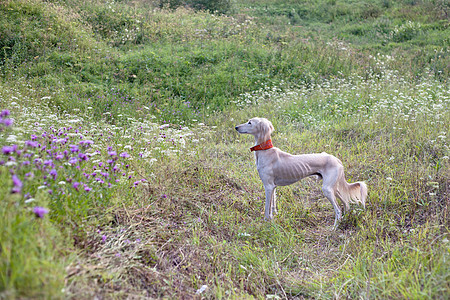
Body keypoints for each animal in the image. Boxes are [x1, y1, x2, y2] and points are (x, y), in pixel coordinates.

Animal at [234, 118, 368, 227]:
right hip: (334, 188)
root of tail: (337, 159)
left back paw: (334, 228)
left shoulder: (268, 186)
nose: (236, 127)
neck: (265, 150)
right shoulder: (273, 187)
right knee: (346, 204)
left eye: (250, 122)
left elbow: (267, 208)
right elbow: (273, 205)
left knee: (338, 210)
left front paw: (267, 223)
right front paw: (273, 218)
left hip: (327, 189)